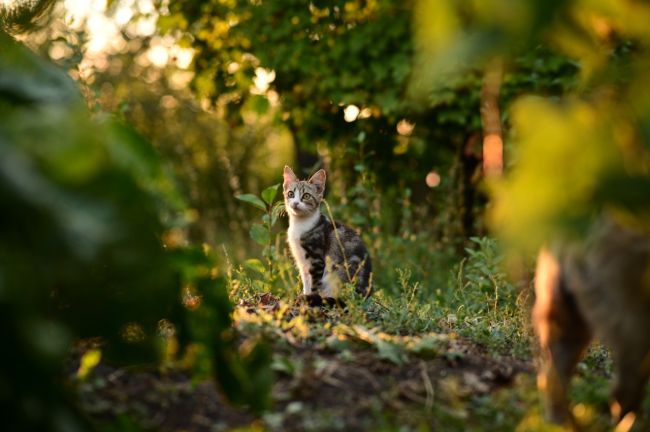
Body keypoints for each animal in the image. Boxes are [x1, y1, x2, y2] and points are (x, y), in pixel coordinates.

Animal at [282, 165, 372, 304]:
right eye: (290, 194)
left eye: (306, 196)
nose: (295, 203)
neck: (299, 224)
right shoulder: (302, 262)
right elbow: (306, 282)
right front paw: (305, 294)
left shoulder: (317, 258)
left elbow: (314, 284)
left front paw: (310, 298)